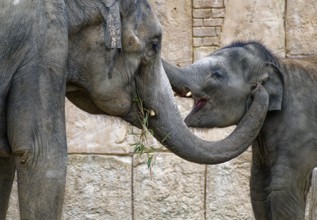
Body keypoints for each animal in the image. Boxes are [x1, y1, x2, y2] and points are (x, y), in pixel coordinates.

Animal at [163, 40, 316, 218]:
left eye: (217, 74)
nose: (257, 88)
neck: (279, 65)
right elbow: (258, 190)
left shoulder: (300, 136)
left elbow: (283, 191)